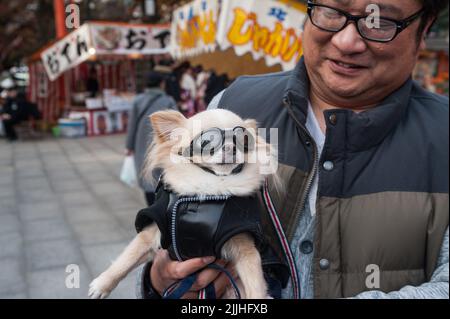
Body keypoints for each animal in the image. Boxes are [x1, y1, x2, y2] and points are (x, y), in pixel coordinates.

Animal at [88, 109, 278, 298]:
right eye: (207, 141)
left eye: (243, 140)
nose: (231, 147)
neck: (209, 190)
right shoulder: (153, 232)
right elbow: (127, 258)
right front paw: (102, 285)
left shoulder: (245, 249)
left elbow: (255, 285)